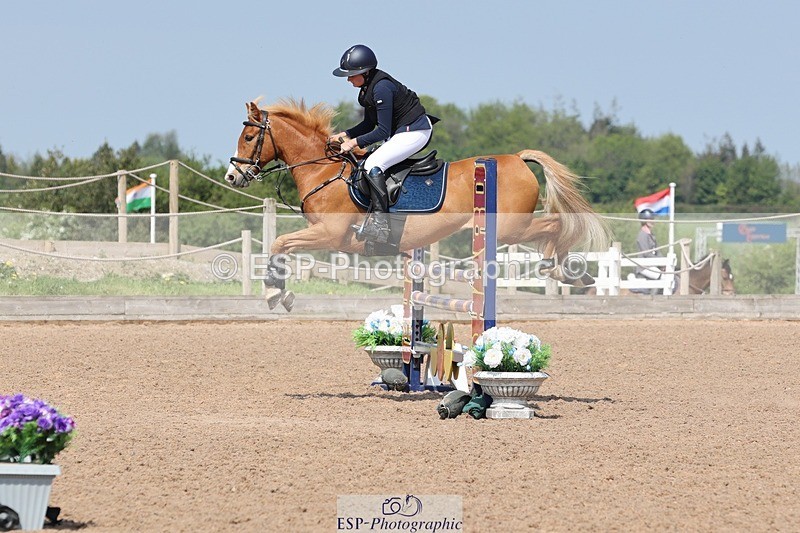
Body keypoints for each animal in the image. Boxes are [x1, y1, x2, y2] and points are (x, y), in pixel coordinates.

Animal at [225, 99, 610, 309]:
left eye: (249, 136)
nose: (232, 177)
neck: (325, 170)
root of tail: (516, 157)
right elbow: (280, 245)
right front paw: (279, 293)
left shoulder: (331, 234)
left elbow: (279, 243)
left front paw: (274, 294)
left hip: (511, 227)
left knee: (555, 224)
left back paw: (565, 271)